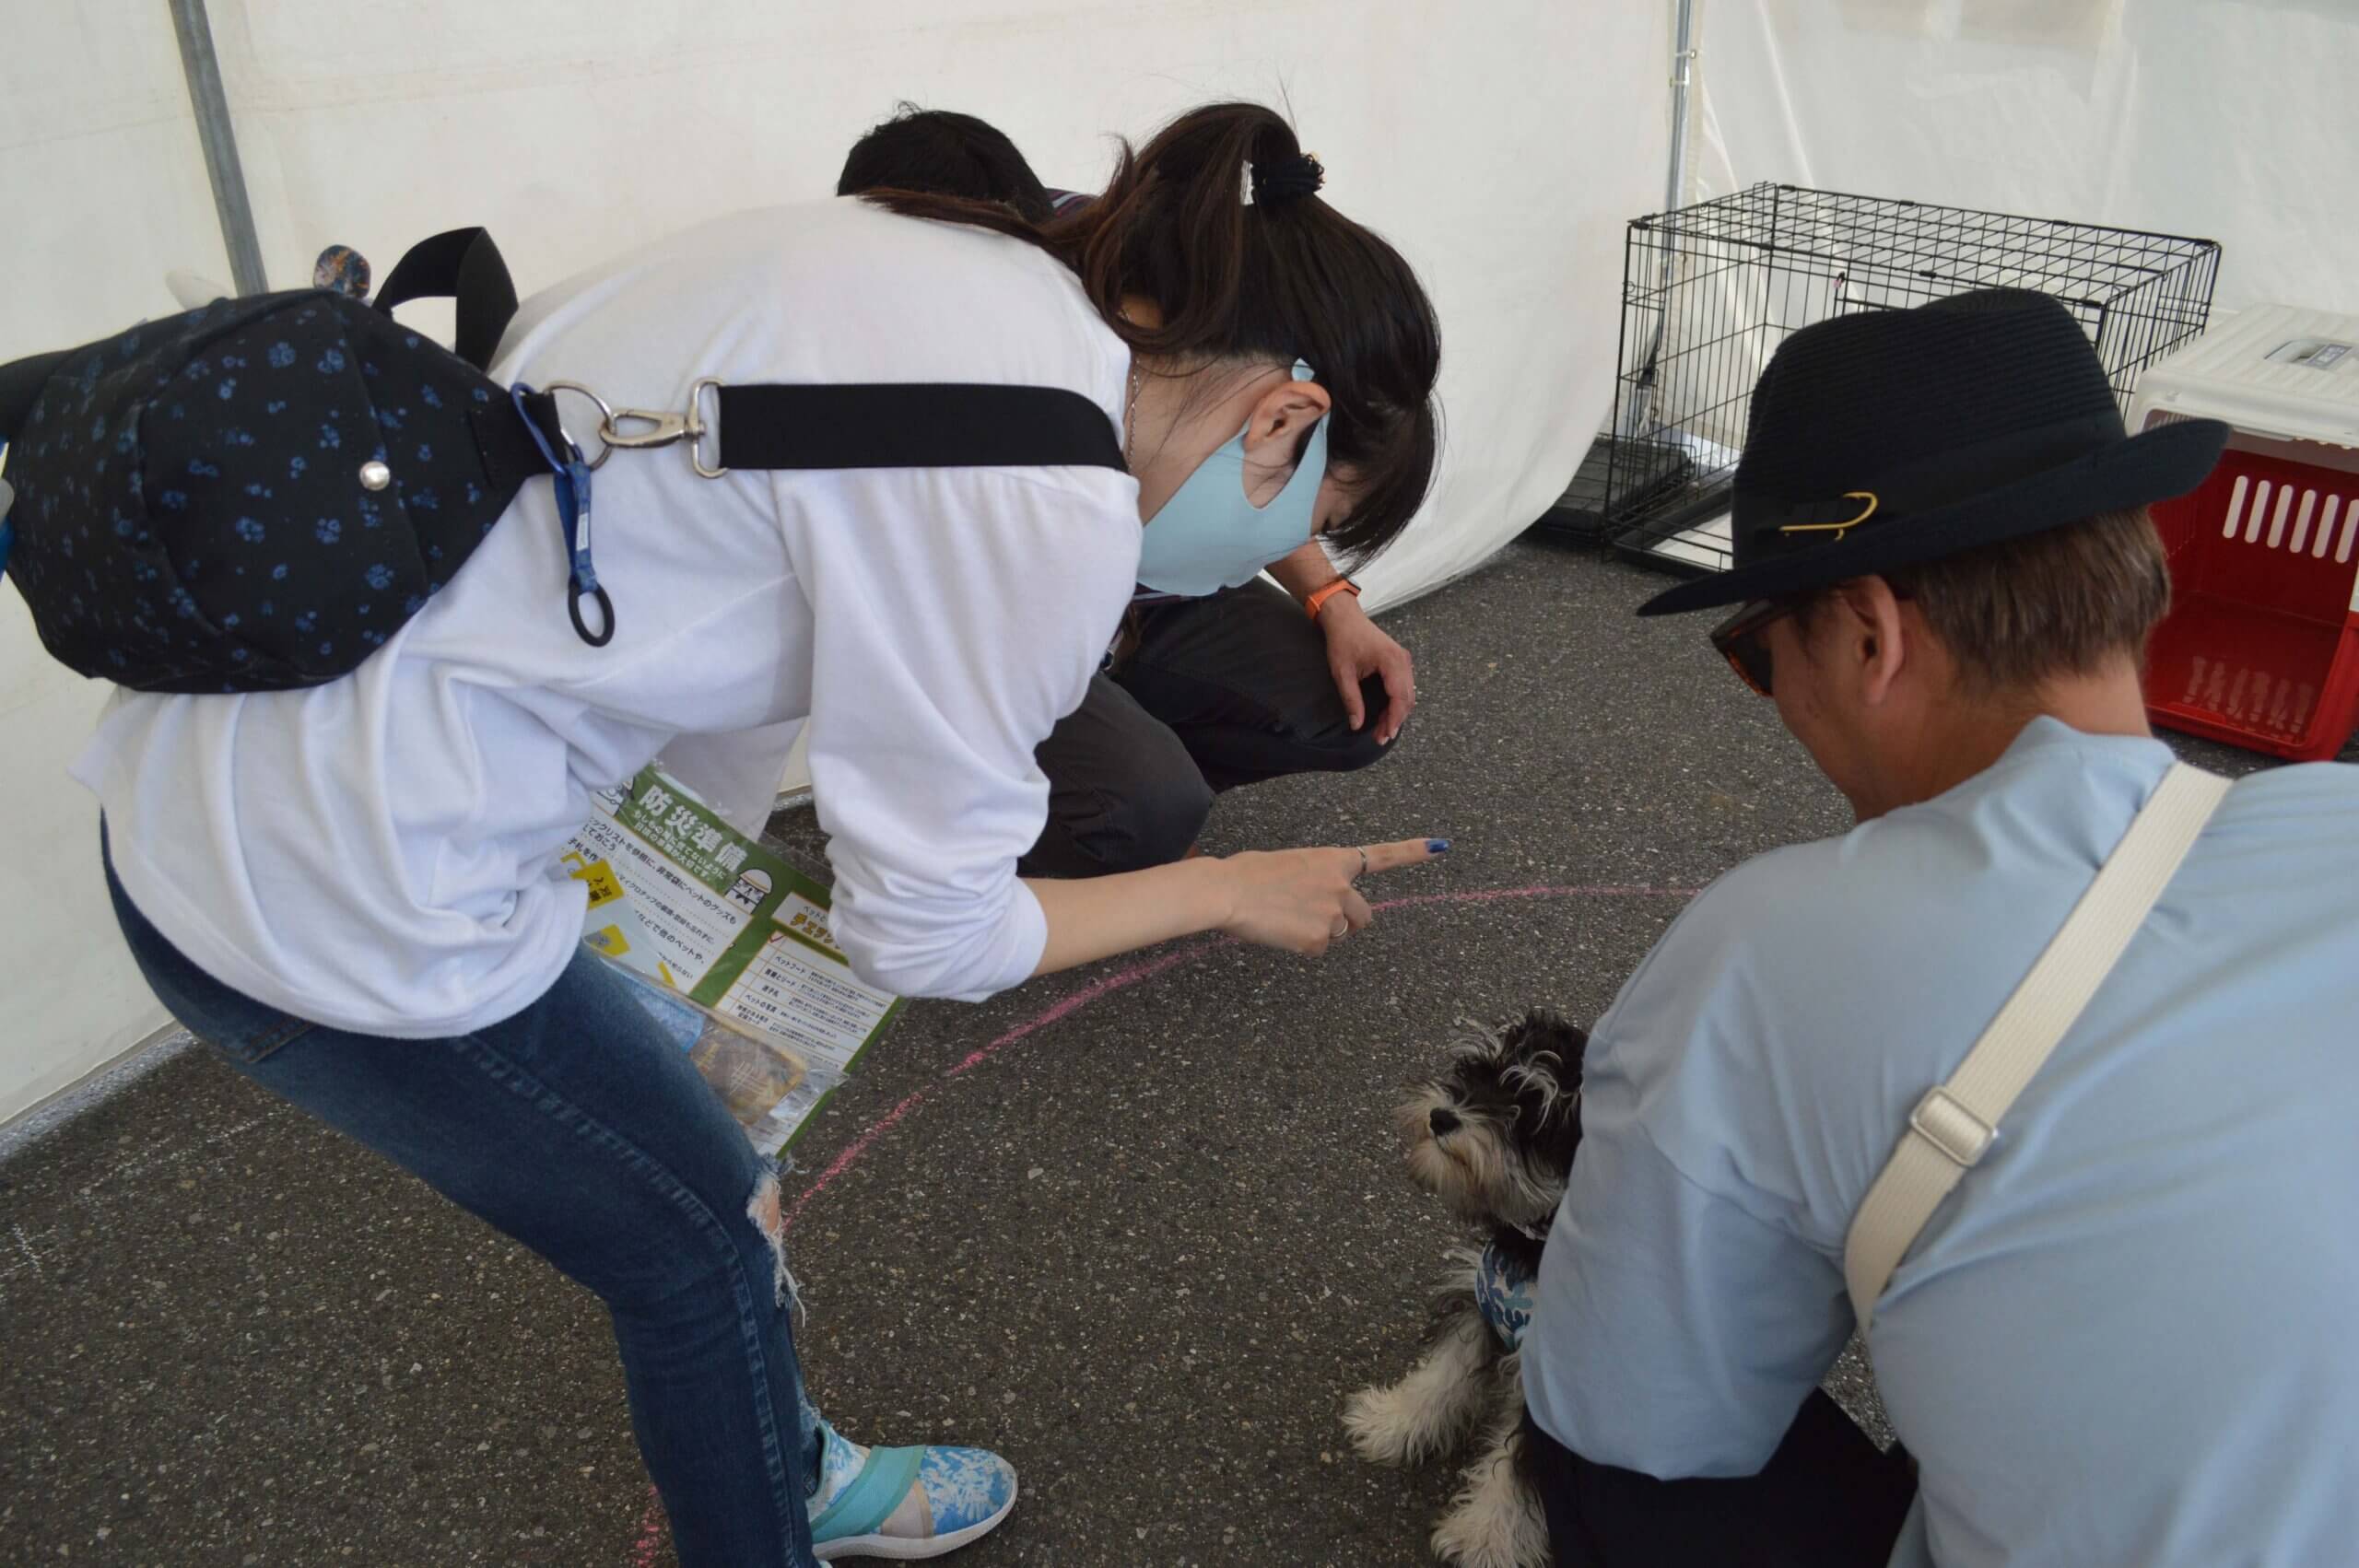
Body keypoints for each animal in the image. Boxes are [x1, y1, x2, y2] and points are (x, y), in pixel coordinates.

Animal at [1349, 1009, 1585, 1565]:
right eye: (1474, 1070)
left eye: (1530, 1111)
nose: (1442, 1117)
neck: (1536, 1245)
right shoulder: (1482, 1311)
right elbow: (1440, 1376)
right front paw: (1392, 1420)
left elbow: (1519, 1470)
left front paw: (1484, 1538)